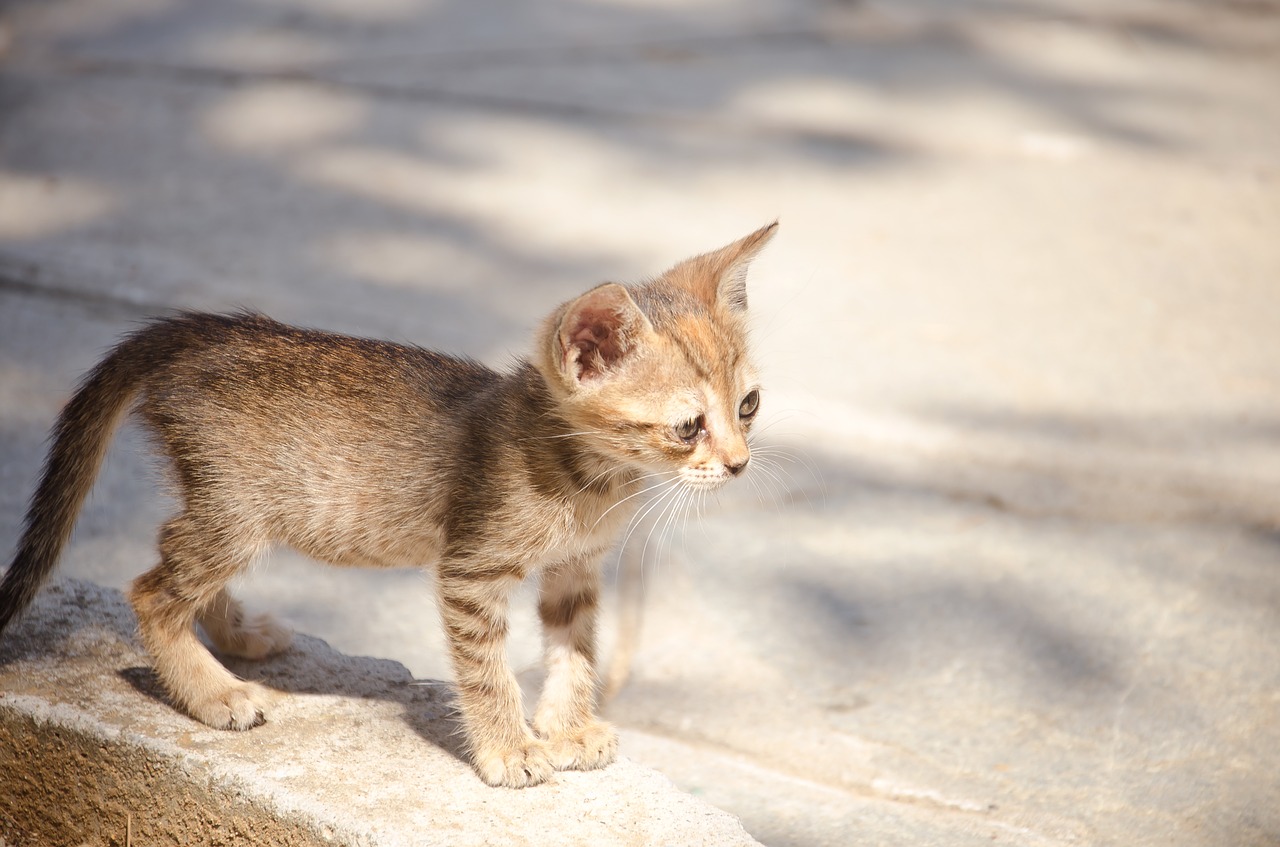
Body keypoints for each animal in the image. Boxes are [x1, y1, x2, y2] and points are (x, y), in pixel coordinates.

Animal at [0, 223, 778, 788]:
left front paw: (568, 726)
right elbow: (488, 671)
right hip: (238, 512)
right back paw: (216, 692)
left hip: (232, 506)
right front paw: (509, 747)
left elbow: (575, 650)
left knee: (175, 556)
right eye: (688, 426)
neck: (590, 480)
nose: (739, 463)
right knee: (153, 588)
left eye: (749, 404)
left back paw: (238, 637)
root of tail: (206, 331)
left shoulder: (575, 570)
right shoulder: (471, 571)